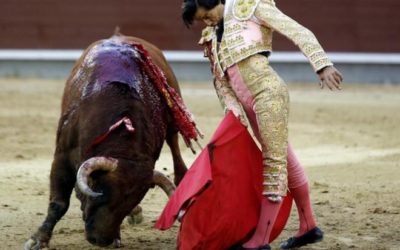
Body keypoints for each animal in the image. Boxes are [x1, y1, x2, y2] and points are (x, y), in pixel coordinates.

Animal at [23, 32, 197, 249]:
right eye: (102, 192)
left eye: (130, 202)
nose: (102, 240)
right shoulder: (62, 155)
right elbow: (59, 203)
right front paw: (38, 239)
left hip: (173, 119)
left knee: (175, 148)